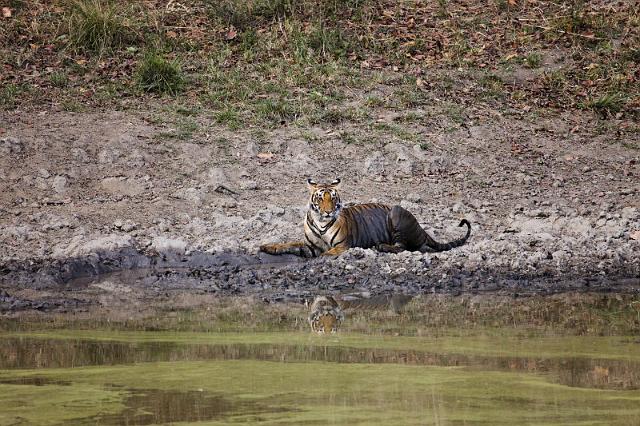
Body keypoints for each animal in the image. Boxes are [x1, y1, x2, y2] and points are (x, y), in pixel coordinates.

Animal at [258, 179, 470, 258]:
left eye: (332, 198)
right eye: (320, 198)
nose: (327, 212)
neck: (321, 222)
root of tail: (422, 230)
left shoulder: (343, 245)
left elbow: (329, 252)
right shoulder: (311, 246)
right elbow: (289, 243)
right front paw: (269, 246)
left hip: (396, 213)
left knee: (402, 247)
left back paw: (381, 246)